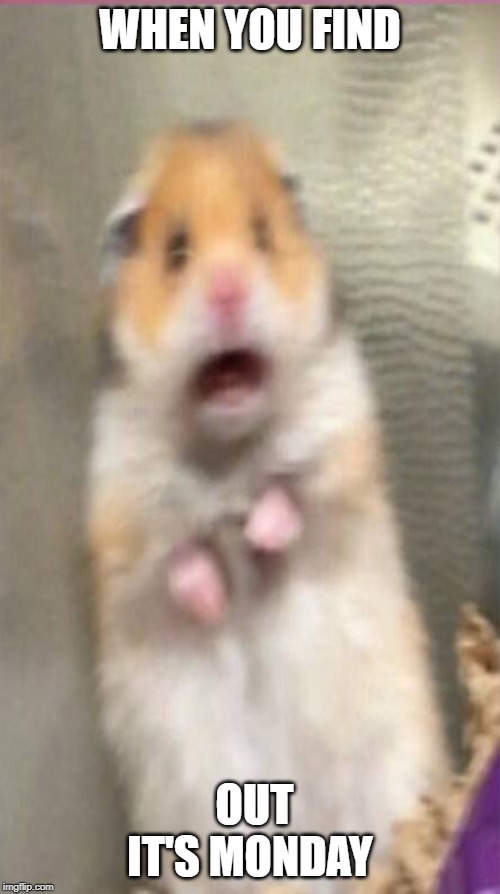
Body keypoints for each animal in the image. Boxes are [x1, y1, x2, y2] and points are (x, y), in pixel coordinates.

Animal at [87, 123, 448, 892]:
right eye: (177, 251)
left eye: (262, 235)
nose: (227, 291)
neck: (228, 449)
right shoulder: (121, 522)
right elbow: (179, 558)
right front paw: (214, 600)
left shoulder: (345, 454)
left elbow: (291, 496)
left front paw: (257, 532)